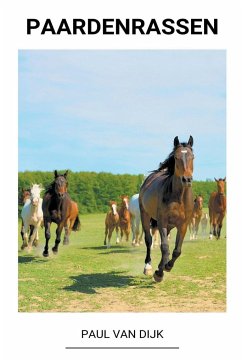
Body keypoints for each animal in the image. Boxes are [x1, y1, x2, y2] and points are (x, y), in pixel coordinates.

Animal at [139, 136, 194, 282]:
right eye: (176, 157)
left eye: (193, 156)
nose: (187, 179)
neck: (178, 198)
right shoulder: (162, 221)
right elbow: (164, 247)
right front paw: (159, 273)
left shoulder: (183, 225)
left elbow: (176, 250)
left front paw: (167, 267)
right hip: (145, 215)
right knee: (149, 240)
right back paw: (148, 267)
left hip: (170, 225)